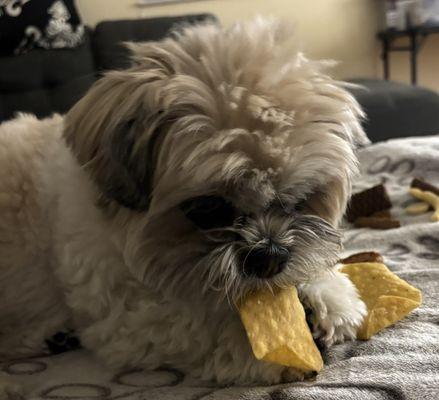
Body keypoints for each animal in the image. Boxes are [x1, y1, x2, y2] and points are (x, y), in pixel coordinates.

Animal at [0, 17, 368, 392]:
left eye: (300, 199)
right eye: (207, 209)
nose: (270, 253)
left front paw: (328, 296)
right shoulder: (124, 311)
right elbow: (198, 322)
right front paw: (274, 348)